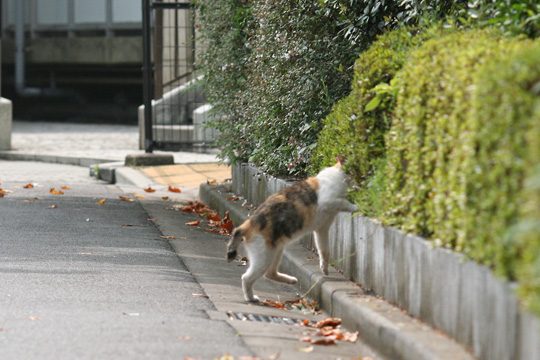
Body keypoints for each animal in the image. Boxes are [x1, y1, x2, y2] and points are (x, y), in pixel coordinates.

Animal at [226, 159, 356, 302]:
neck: (339, 173)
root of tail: (247, 225)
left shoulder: (322, 229)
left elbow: (324, 251)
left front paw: (324, 268)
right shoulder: (329, 200)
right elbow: (344, 202)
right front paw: (357, 207)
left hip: (276, 250)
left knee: (270, 273)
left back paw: (291, 280)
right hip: (263, 257)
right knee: (247, 278)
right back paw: (251, 298)